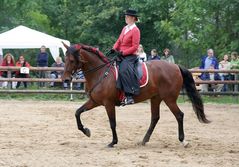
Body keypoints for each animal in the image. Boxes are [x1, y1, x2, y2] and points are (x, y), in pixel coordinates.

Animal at [61, 42, 209, 147]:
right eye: (65, 59)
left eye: (72, 60)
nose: (66, 79)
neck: (101, 73)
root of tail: (175, 66)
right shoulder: (94, 101)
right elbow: (77, 112)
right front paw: (86, 131)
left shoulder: (108, 104)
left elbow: (112, 123)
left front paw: (113, 142)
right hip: (156, 98)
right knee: (155, 118)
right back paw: (144, 140)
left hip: (169, 99)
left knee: (179, 115)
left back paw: (183, 140)